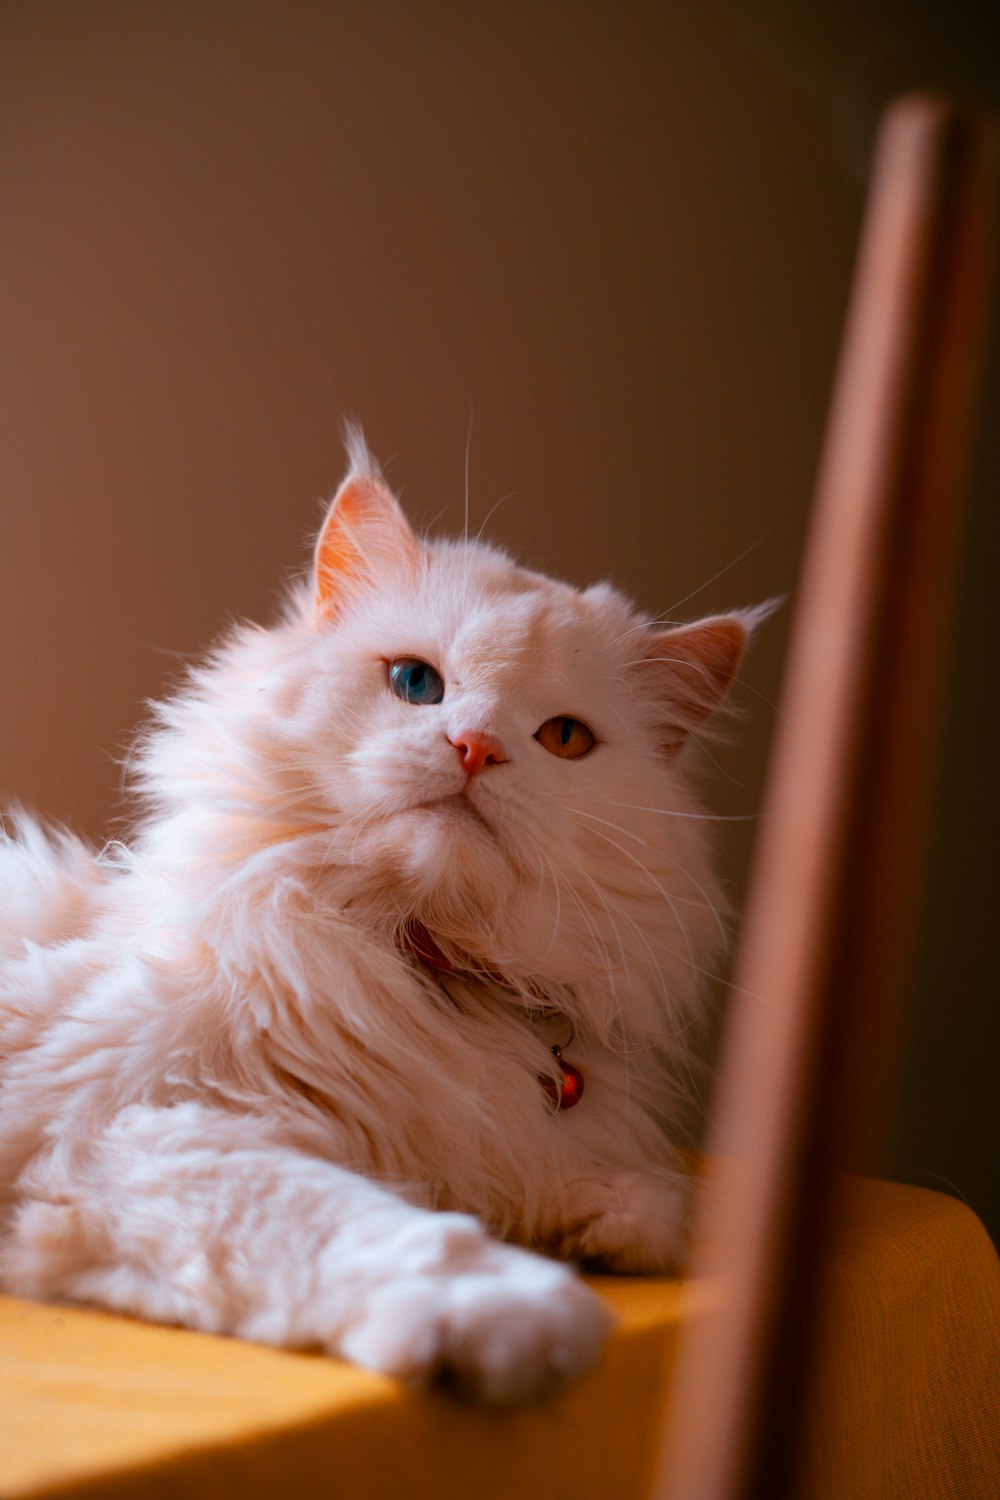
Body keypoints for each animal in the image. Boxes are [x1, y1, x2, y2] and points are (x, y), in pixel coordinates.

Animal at [0, 435, 749, 1404]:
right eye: (416, 683)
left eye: (564, 739)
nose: (476, 747)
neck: (426, 967)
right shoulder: (129, 1135)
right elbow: (369, 1223)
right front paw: (518, 1314)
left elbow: (641, 1201)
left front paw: (601, 1220)